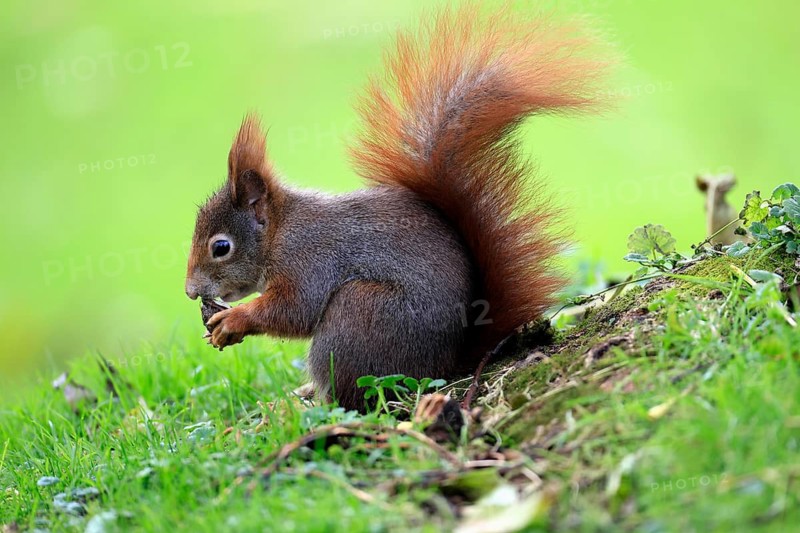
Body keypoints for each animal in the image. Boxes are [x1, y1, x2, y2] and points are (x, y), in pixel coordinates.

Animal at [185, 3, 611, 411]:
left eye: (221, 247)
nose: (190, 292)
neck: (279, 232)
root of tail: (448, 364)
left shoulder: (310, 259)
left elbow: (295, 310)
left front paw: (232, 320)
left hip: (360, 313)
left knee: (358, 397)